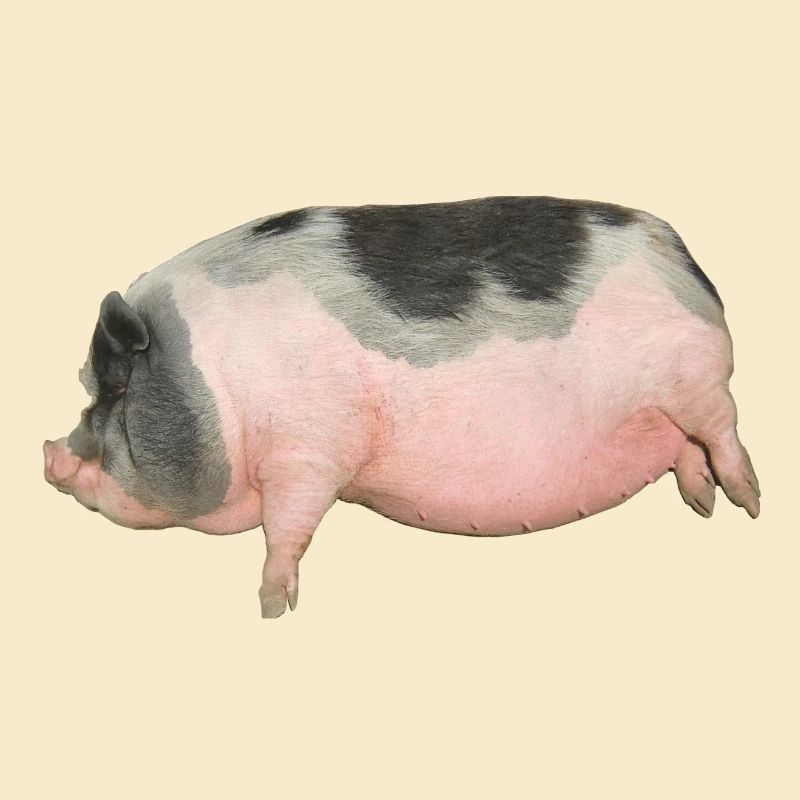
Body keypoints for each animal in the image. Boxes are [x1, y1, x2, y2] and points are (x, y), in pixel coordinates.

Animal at [43, 196, 761, 617]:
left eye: (115, 391)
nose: (47, 454)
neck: (217, 383)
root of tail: (683, 259)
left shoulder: (309, 451)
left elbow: (287, 529)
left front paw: (271, 606)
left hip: (697, 381)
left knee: (724, 434)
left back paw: (749, 504)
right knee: (688, 451)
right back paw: (701, 506)